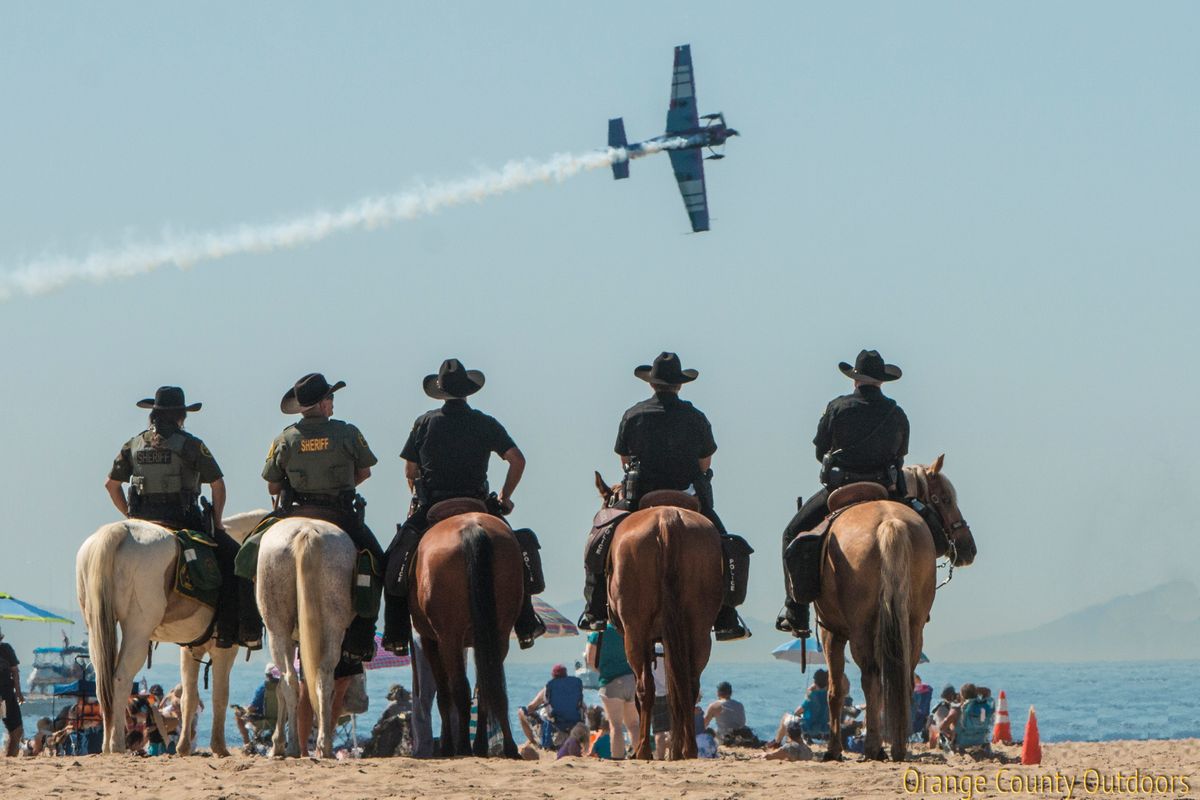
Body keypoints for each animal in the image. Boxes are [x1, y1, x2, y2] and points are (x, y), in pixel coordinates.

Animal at [75, 510, 267, 753]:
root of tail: (118, 531)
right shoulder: (225, 648)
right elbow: (220, 695)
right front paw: (219, 747)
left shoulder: (191, 648)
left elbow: (188, 698)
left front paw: (183, 747)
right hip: (138, 629)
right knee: (120, 679)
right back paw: (117, 744)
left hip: (95, 627)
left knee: (103, 684)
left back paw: (107, 745)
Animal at [255, 515, 357, 762]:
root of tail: (307, 530)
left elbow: (280, 690)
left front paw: (277, 744)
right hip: (334, 625)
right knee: (324, 678)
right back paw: (324, 746)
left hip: (278, 630)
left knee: (289, 681)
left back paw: (290, 747)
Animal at [410, 510, 523, 762]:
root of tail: (472, 529)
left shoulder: (431, 640)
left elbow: (444, 695)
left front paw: (447, 746)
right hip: (499, 633)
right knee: (487, 687)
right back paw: (501, 747)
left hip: (449, 637)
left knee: (459, 689)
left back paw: (462, 746)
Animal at [592, 474, 720, 762]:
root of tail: (667, 519)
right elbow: (675, 687)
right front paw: (676, 748)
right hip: (698, 629)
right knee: (689, 686)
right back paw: (687, 750)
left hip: (635, 630)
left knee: (645, 687)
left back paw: (642, 750)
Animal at [816, 455, 974, 762]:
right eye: (945, 499)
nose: (968, 548)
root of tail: (890, 522)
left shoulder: (831, 630)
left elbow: (835, 689)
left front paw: (834, 749)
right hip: (911, 624)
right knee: (904, 676)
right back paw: (898, 746)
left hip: (860, 628)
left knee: (870, 676)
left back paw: (873, 747)